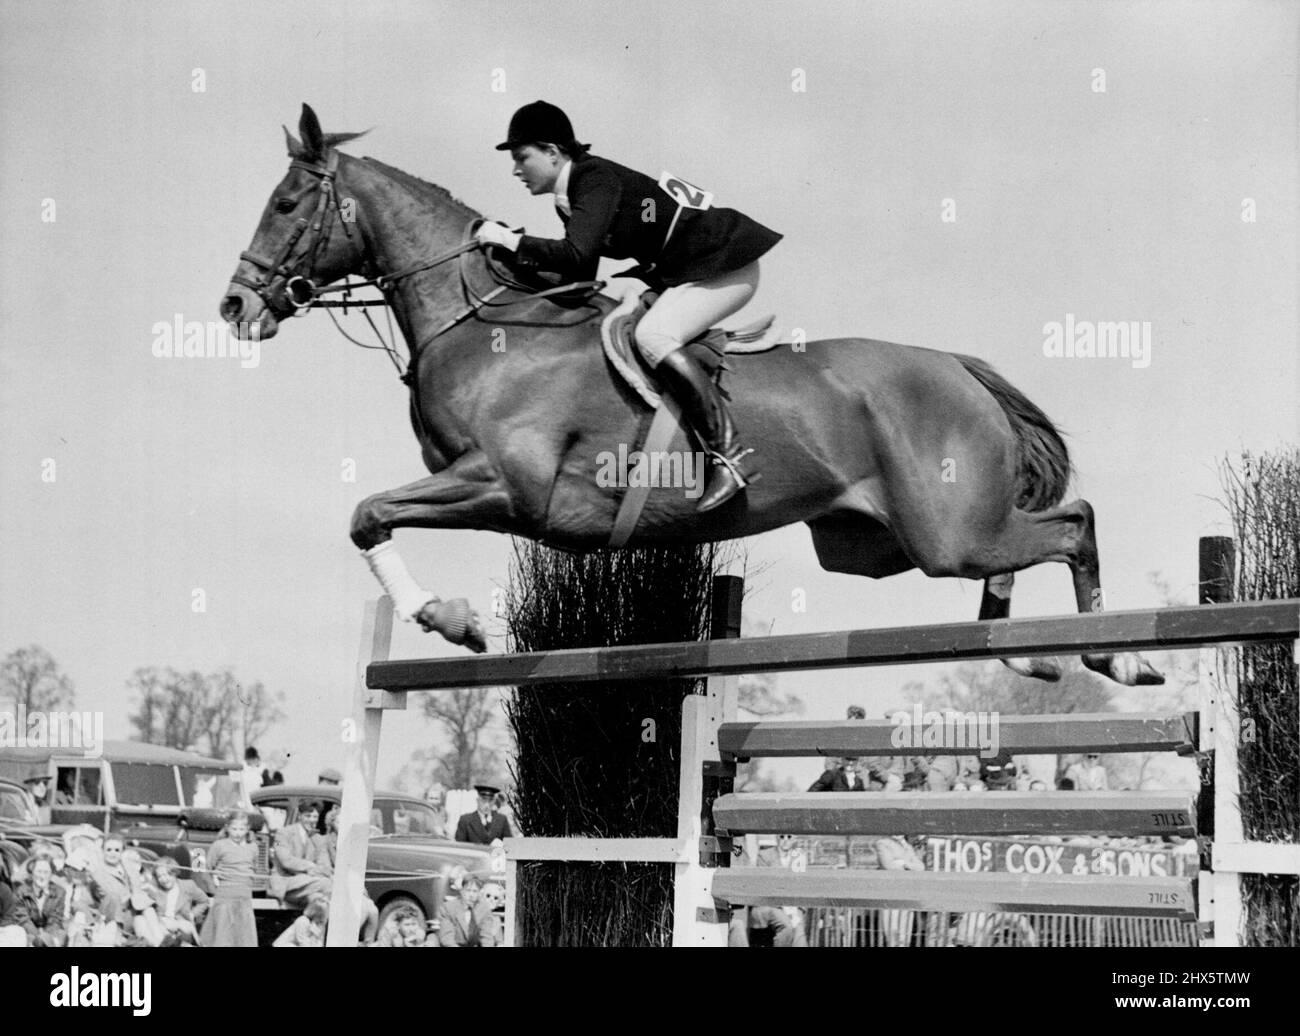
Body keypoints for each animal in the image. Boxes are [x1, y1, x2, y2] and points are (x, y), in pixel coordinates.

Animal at [218, 107, 1164, 686]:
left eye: (288, 202)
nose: (235, 308)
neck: (485, 323)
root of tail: (958, 367)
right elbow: (368, 517)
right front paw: (447, 617)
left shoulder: (505, 486)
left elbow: (367, 514)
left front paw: (450, 622)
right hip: (872, 542)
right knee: (1012, 552)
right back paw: (1026, 656)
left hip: (947, 531)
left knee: (1072, 522)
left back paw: (1115, 659)